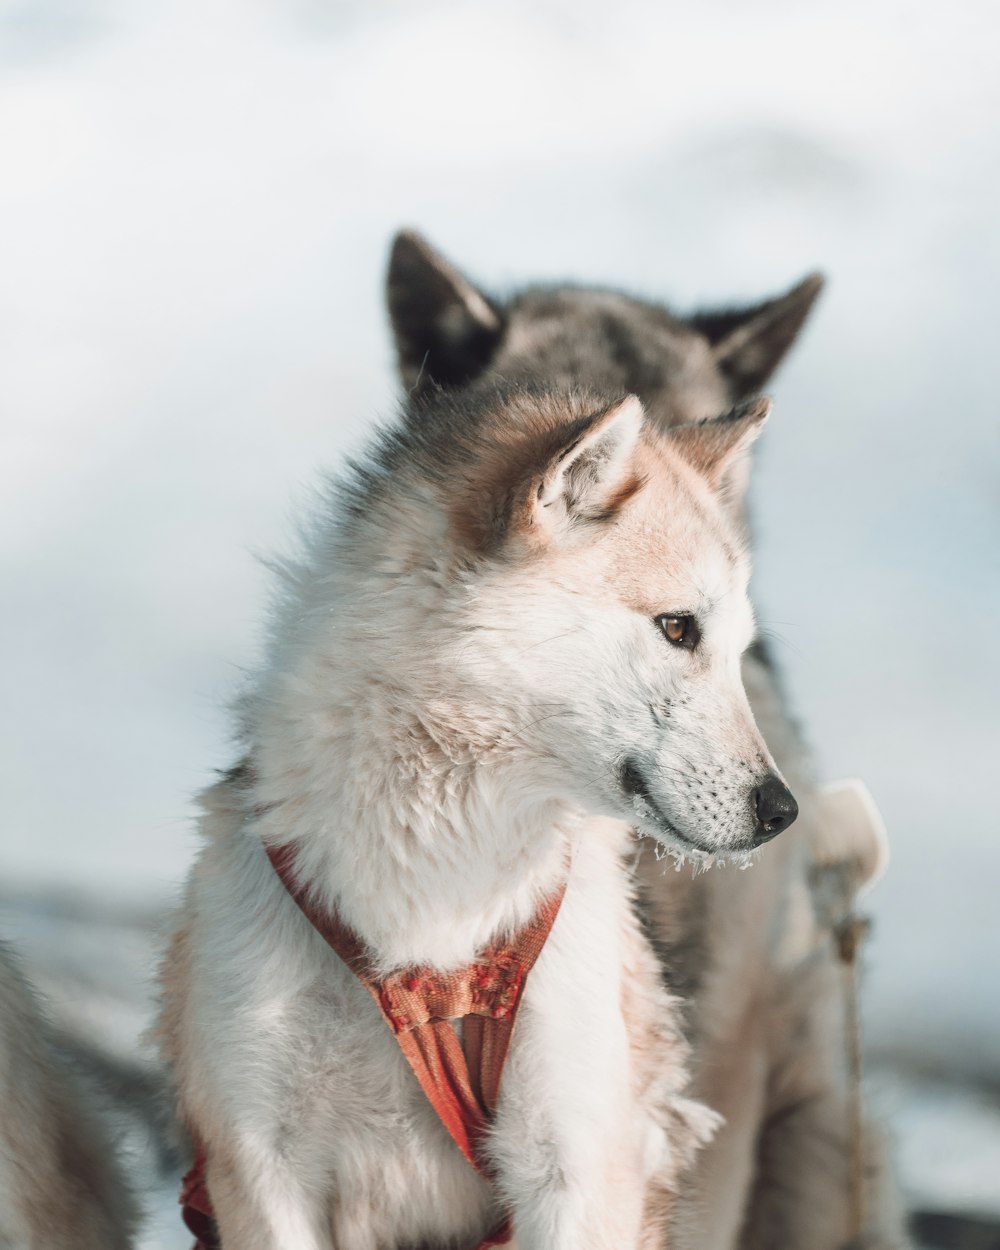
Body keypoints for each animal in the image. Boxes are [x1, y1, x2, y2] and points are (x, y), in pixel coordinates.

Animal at [158, 375, 805, 1245]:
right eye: (678, 628)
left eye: (738, 652)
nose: (781, 810)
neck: (427, 927)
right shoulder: (262, 1169)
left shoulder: (570, 1167)